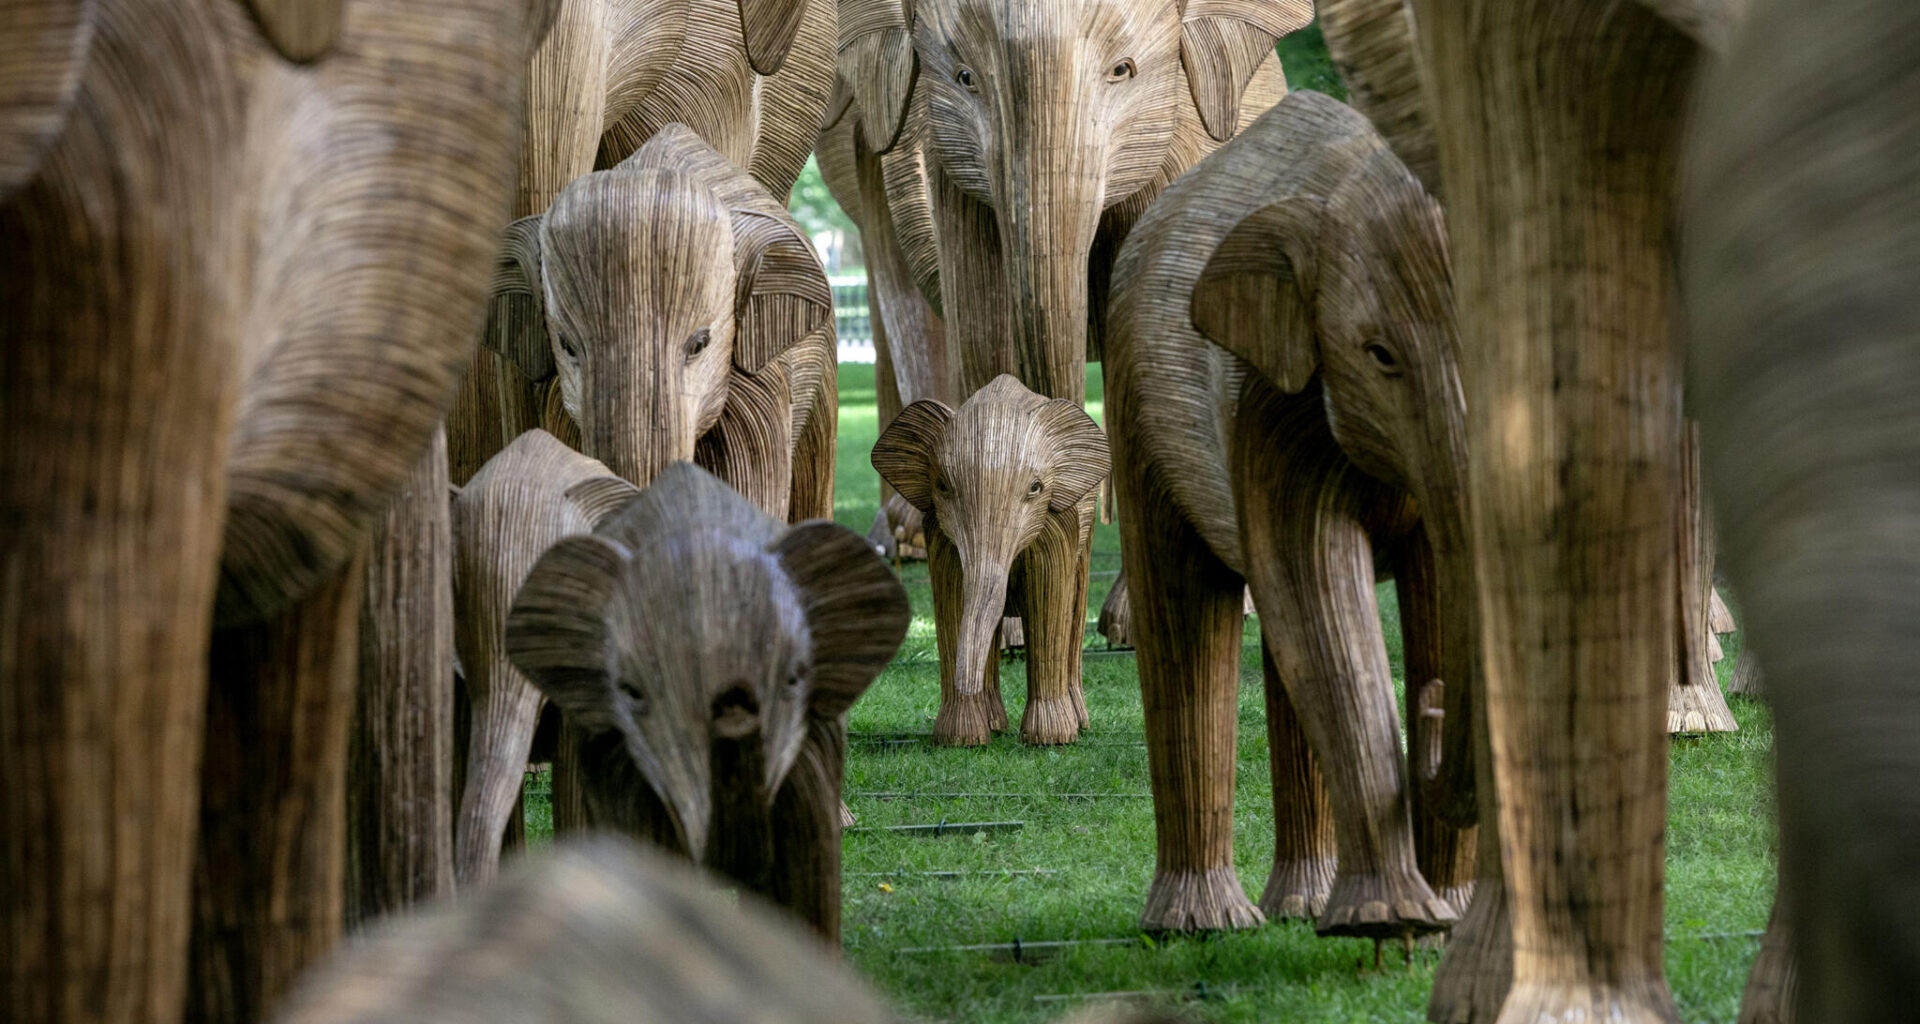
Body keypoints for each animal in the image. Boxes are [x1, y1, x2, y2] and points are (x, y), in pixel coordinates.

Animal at [870, 373, 1110, 746]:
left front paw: (1050, 740)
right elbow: (952, 597)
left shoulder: (1057, 524)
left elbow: (1050, 598)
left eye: (1035, 488)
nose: (965, 682)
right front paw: (961, 740)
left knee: (1074, 610)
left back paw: (1078, 723)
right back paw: (995, 724)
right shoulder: (939, 530)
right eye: (942, 485)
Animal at [1106, 90, 1474, 937]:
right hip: (1137, 396)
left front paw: (1454, 915)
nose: (1433, 710)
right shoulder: (1273, 407)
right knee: (1188, 611)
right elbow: (1316, 591)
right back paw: (1202, 924)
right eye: (1379, 355)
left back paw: (1299, 905)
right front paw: (1392, 922)